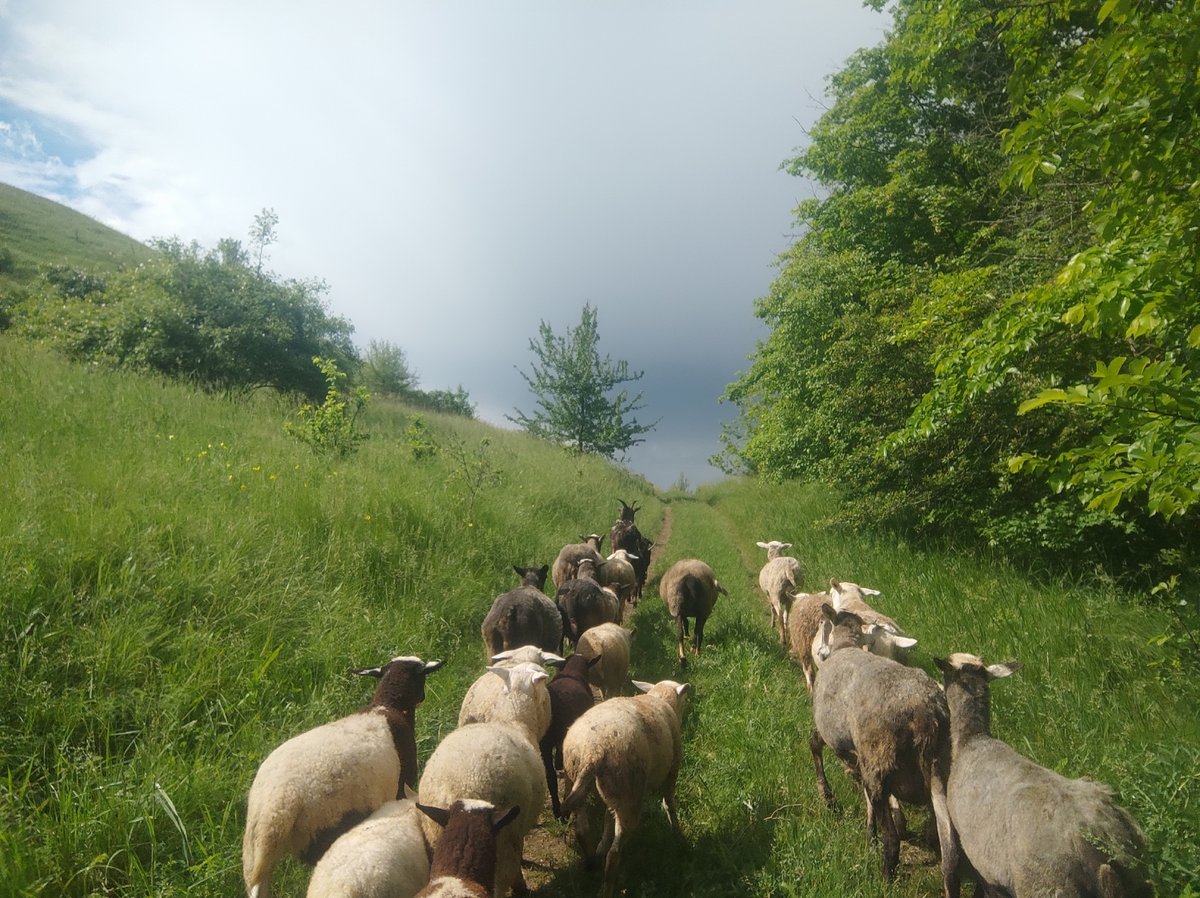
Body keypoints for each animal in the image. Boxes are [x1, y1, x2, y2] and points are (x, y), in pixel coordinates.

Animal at [243, 656, 443, 898]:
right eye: (422, 677)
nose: (423, 698)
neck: (388, 708)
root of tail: (274, 809)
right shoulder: (402, 784)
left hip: (254, 851)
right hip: (323, 830)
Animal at [560, 678, 691, 898]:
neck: (661, 700)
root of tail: (593, 751)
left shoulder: (614, 795)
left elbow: (607, 817)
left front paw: (602, 843)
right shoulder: (672, 769)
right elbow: (669, 804)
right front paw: (677, 833)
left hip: (586, 778)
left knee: (582, 828)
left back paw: (592, 861)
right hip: (630, 791)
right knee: (614, 855)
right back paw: (605, 888)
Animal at [810, 606, 958, 896]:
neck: (845, 645)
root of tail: (926, 712)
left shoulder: (833, 735)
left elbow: (814, 745)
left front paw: (828, 798)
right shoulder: (859, 754)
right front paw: (869, 833)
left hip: (880, 761)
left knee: (893, 840)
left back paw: (885, 878)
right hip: (939, 771)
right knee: (946, 846)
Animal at [934, 653, 1153, 898]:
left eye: (945, 674)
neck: (972, 739)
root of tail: (1101, 839)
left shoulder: (986, 872)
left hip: (1047, 886)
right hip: (1138, 881)